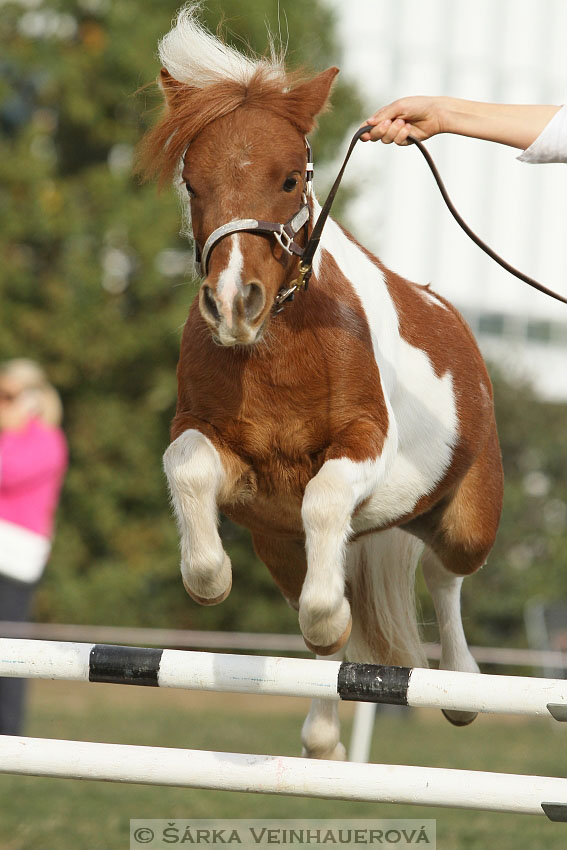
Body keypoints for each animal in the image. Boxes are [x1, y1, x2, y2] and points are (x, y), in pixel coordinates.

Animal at [140, 6, 504, 760]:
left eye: (288, 180)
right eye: (192, 183)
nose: (233, 304)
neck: (282, 348)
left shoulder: (364, 446)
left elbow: (326, 502)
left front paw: (324, 614)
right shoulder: (222, 455)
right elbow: (187, 467)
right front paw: (210, 578)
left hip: (465, 519)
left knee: (444, 574)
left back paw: (461, 687)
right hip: (278, 544)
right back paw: (324, 738)